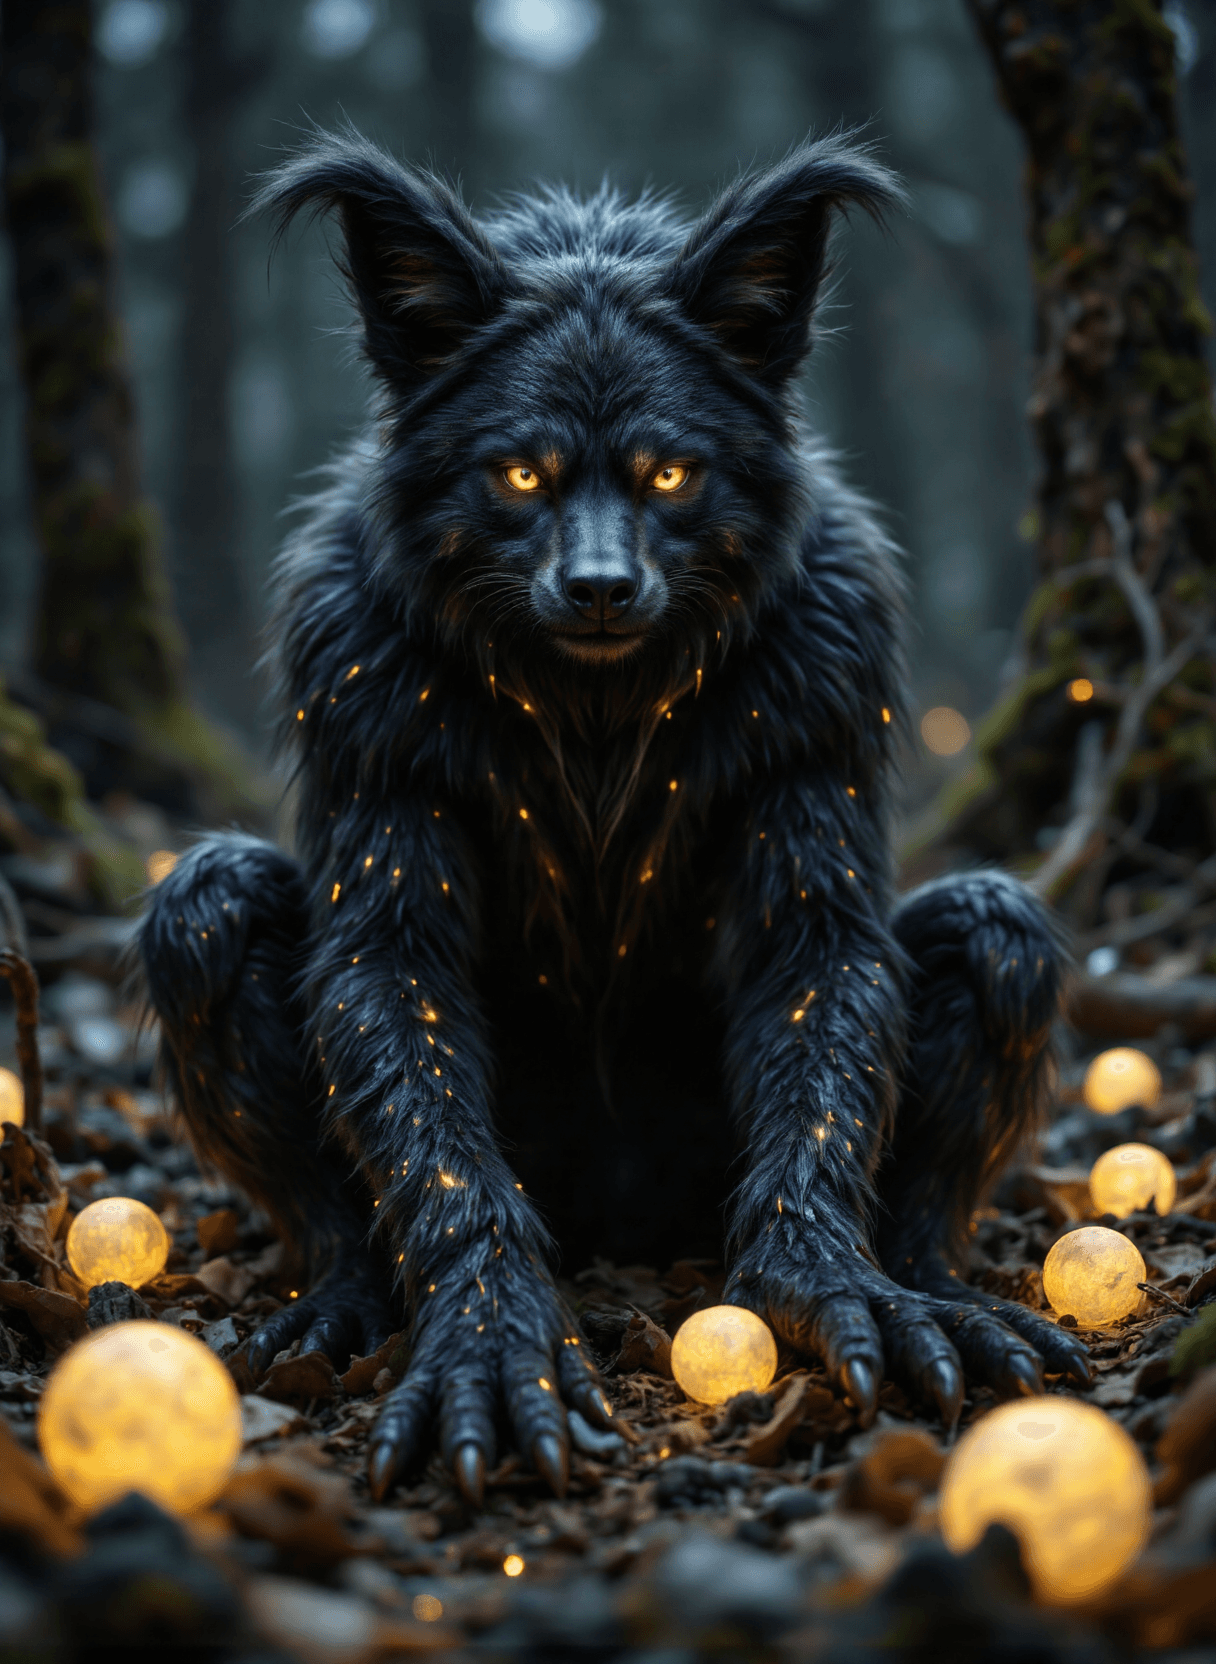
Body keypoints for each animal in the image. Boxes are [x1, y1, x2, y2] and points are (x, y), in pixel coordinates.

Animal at [140, 129, 1088, 1503]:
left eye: (671, 472)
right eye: (521, 471)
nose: (597, 585)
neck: (593, 702)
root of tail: (621, 1227)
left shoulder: (826, 698)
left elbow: (818, 984)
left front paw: (832, 1282)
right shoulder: (361, 706)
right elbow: (402, 1021)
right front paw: (490, 1332)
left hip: (974, 943)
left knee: (990, 941)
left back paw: (931, 1283)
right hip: (205, 915)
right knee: (215, 922)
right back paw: (342, 1304)